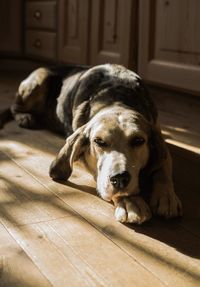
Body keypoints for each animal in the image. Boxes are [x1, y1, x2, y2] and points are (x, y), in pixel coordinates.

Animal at [0, 64, 182, 224]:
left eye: (139, 141)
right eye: (98, 141)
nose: (120, 179)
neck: (116, 99)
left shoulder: (161, 140)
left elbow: (163, 168)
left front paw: (166, 196)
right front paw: (130, 202)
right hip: (38, 81)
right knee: (14, 108)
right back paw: (25, 117)